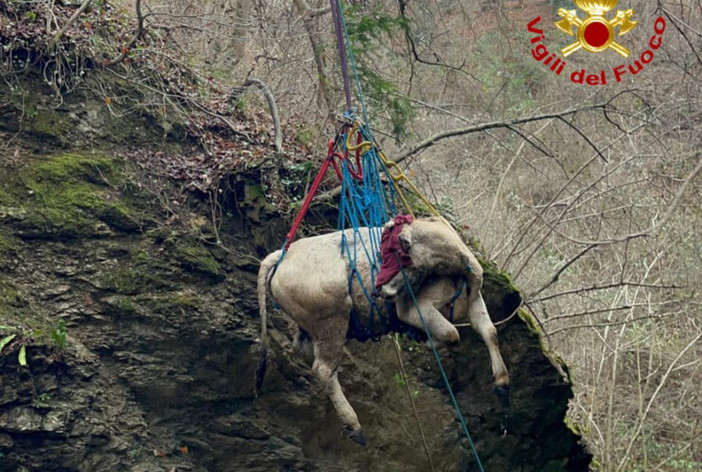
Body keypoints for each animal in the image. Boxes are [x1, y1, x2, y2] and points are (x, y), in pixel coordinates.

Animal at [255, 217, 510, 445]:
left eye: (397, 253)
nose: (382, 291)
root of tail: (281, 255)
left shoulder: (474, 300)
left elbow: (489, 331)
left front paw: (502, 381)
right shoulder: (415, 309)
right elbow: (451, 334)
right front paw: (426, 340)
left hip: (312, 327)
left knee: (305, 351)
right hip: (334, 319)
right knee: (324, 369)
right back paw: (354, 424)